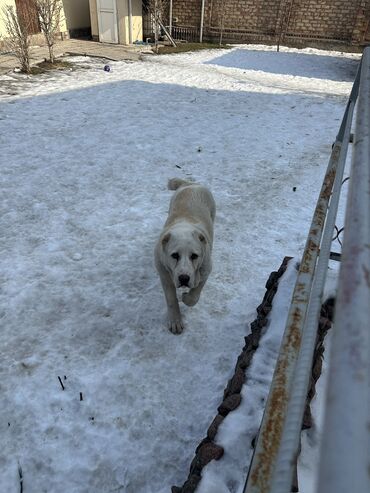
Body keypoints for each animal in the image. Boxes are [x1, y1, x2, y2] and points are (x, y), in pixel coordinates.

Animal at [154, 177, 217, 334]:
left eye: (194, 256)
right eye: (174, 255)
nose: (183, 278)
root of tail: (191, 184)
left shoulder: (206, 268)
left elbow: (195, 295)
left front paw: (186, 297)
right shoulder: (164, 273)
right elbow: (171, 300)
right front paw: (175, 321)